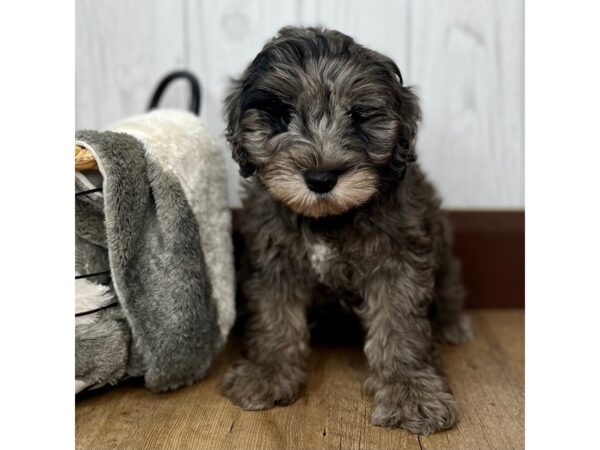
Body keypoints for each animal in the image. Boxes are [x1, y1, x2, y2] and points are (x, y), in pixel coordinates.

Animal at [220, 26, 474, 434]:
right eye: (282, 116)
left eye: (358, 116)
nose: (321, 178)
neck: (328, 218)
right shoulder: (273, 259)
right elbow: (275, 316)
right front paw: (266, 372)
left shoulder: (397, 261)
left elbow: (399, 325)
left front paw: (411, 392)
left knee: (450, 283)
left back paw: (452, 324)